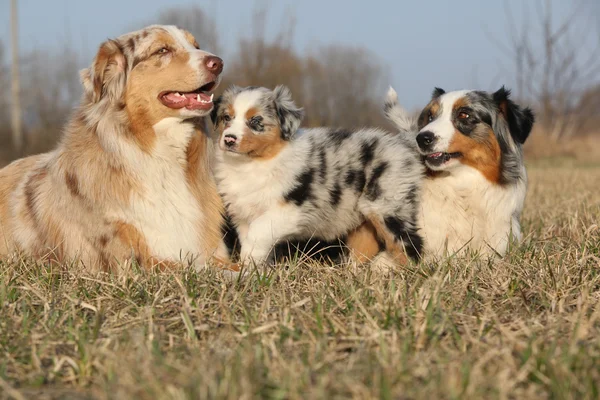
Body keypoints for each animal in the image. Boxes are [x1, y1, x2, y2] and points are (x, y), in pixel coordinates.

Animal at [211, 85, 422, 266]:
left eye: (256, 121)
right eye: (226, 117)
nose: (229, 139)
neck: (251, 164)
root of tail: (402, 142)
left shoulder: (291, 210)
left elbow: (258, 232)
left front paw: (247, 266)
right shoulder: (243, 215)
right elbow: (253, 240)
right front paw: (252, 269)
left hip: (386, 206)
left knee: (410, 244)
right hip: (362, 218)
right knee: (364, 246)